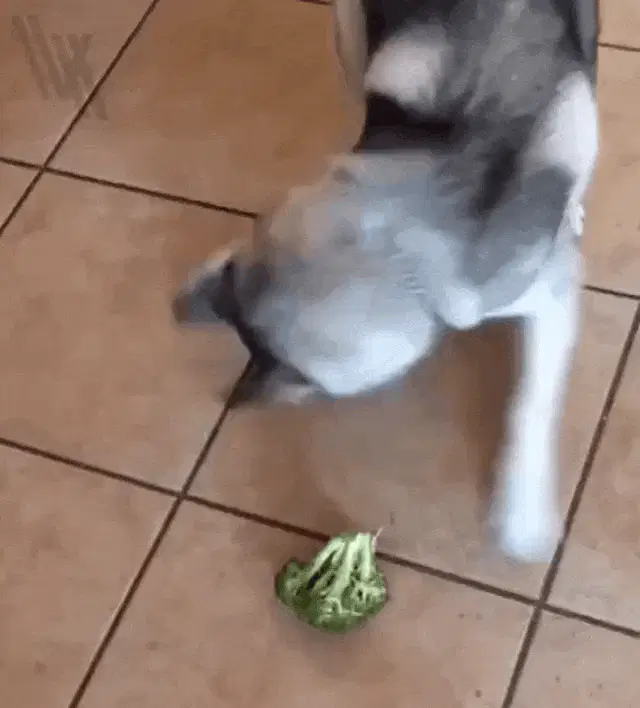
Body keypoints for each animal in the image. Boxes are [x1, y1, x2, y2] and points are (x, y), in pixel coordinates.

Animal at [173, 0, 600, 563]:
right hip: (349, 30)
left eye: (288, 368)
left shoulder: (548, 296)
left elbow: (530, 402)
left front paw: (520, 517)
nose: (239, 399)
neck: (403, 241)